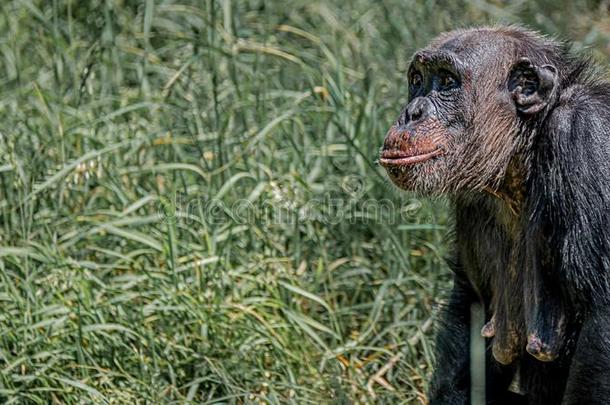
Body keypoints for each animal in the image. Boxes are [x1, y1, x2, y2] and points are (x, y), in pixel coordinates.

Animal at [378, 26, 608, 402]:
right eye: (417, 80)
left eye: (447, 81)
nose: (412, 112)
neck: (526, 147)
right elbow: (472, 302)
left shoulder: (586, 139)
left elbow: (601, 317)